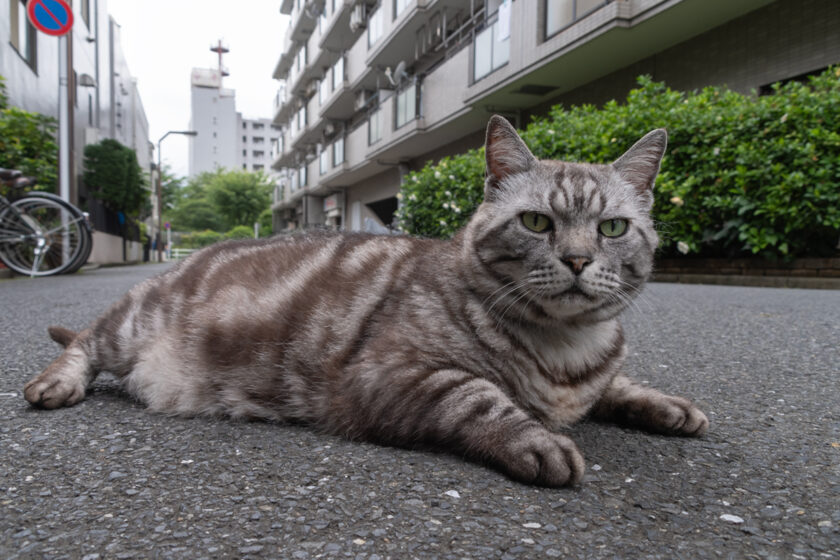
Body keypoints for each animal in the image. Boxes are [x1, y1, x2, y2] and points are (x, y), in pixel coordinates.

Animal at [24, 117, 708, 486]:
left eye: (612, 228)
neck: (568, 348)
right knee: (83, 343)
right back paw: (55, 383)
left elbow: (618, 386)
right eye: (538, 222)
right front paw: (538, 440)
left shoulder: (594, 374)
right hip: (131, 322)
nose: (577, 259)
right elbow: (480, 396)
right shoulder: (390, 373)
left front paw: (666, 405)